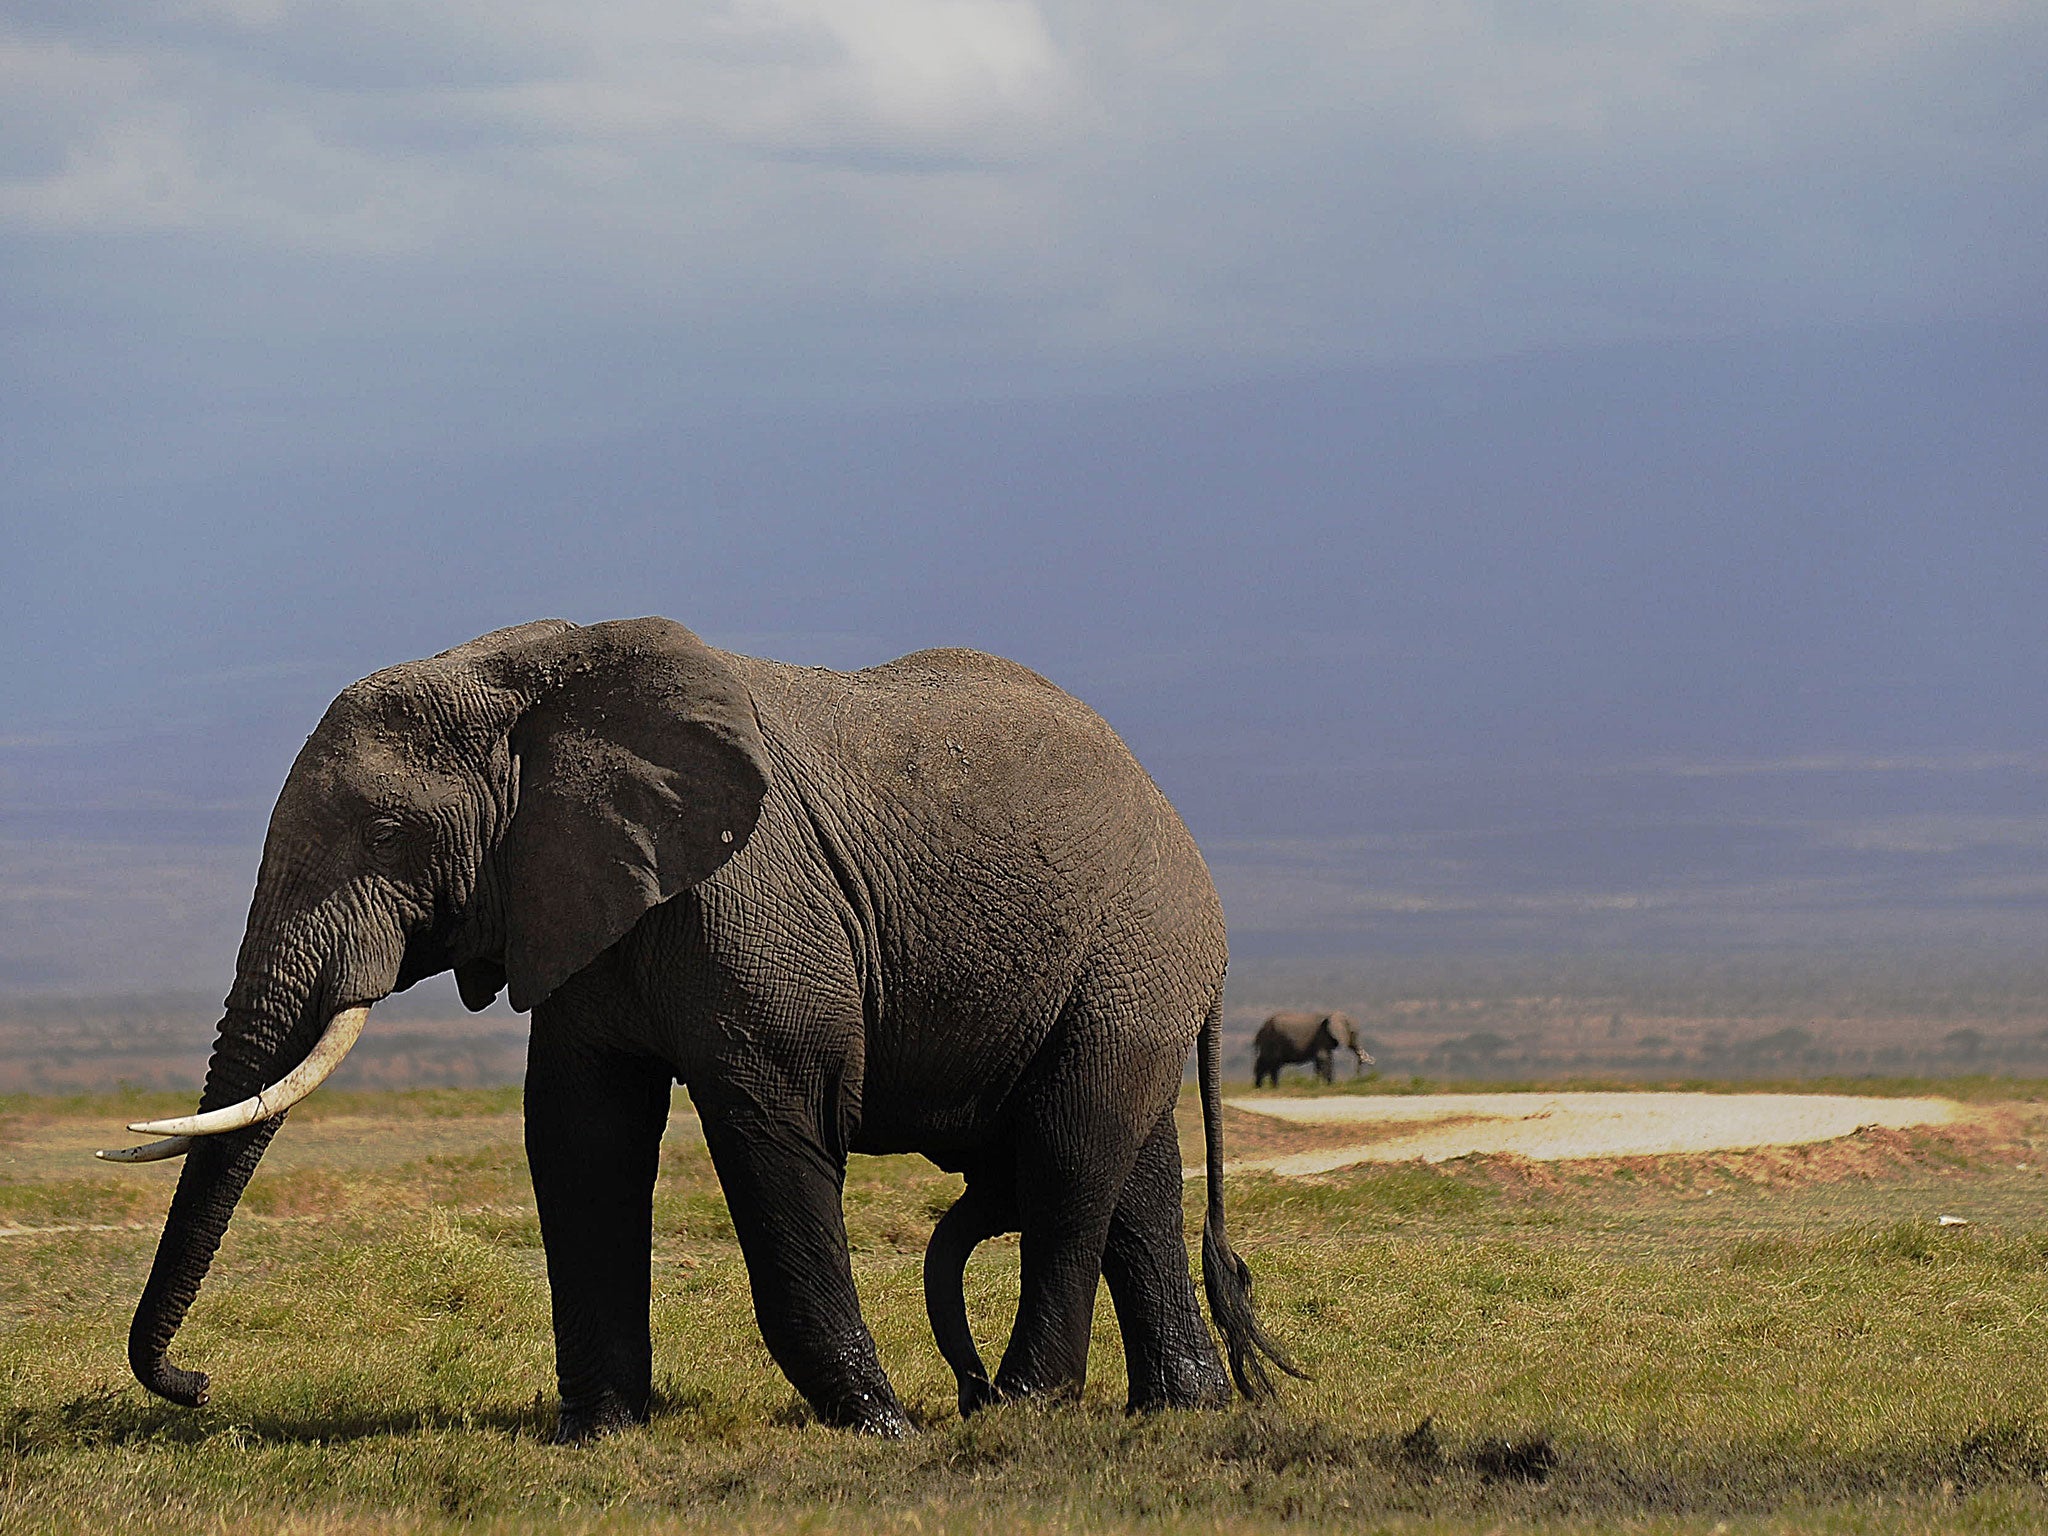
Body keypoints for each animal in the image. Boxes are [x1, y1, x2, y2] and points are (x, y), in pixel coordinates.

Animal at [103, 618, 1294, 1441]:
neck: (535, 679)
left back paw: (1019, 1411)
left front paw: (879, 1429)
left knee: (1068, 1157)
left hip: (1132, 948)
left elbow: (774, 1128)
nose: (196, 1385)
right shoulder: (579, 902)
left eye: (390, 834)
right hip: (1122, 974)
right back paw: (1179, 1412)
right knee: (1133, 1175)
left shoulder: (751, 908)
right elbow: (579, 1137)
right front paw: (596, 1437)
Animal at [1245, 1015, 1376, 1089]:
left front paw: (1319, 1085)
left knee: (1268, 1063)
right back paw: (1270, 1088)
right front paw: (1329, 1086)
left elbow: (1322, 1060)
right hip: (1272, 1041)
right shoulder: (1322, 1036)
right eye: (1353, 1033)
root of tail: (1260, 1030)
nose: (1358, 1074)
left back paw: (1262, 1087)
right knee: (1271, 1063)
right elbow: (1323, 1059)